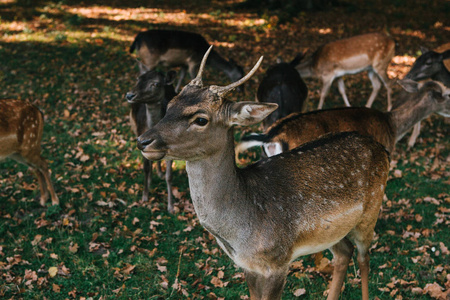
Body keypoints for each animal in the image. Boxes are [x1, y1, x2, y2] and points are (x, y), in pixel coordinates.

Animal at [126, 64, 178, 212]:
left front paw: (171, 206)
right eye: (138, 79)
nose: (129, 95)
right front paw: (145, 196)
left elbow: (169, 176)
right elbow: (146, 168)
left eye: (155, 84)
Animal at [136, 47, 390, 300]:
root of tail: (382, 149)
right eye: (170, 105)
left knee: (364, 258)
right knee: (344, 252)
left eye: (201, 119)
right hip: (333, 231)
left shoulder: (277, 262)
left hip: (371, 211)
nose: (143, 141)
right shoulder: (248, 265)